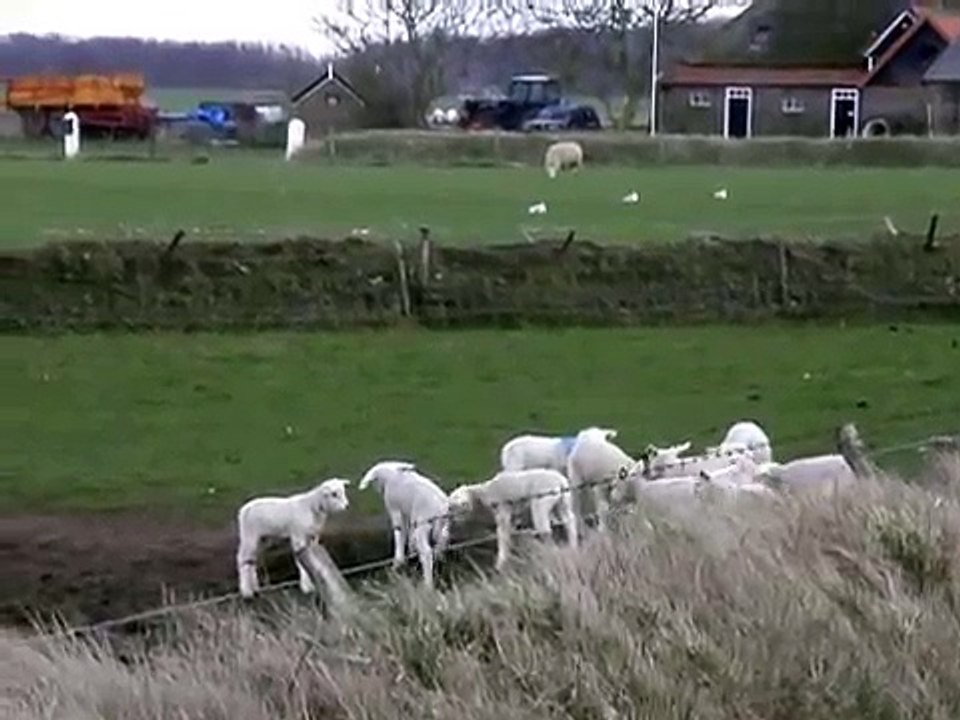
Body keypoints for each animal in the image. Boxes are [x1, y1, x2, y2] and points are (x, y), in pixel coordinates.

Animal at [447, 467, 577, 571]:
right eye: (453, 502)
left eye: (460, 496)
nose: (463, 503)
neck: (484, 494)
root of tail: (560, 481)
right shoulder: (513, 516)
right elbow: (511, 534)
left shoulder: (502, 509)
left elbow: (503, 535)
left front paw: (500, 563)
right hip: (563, 501)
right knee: (569, 520)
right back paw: (572, 546)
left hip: (542, 501)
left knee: (545, 530)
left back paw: (550, 554)